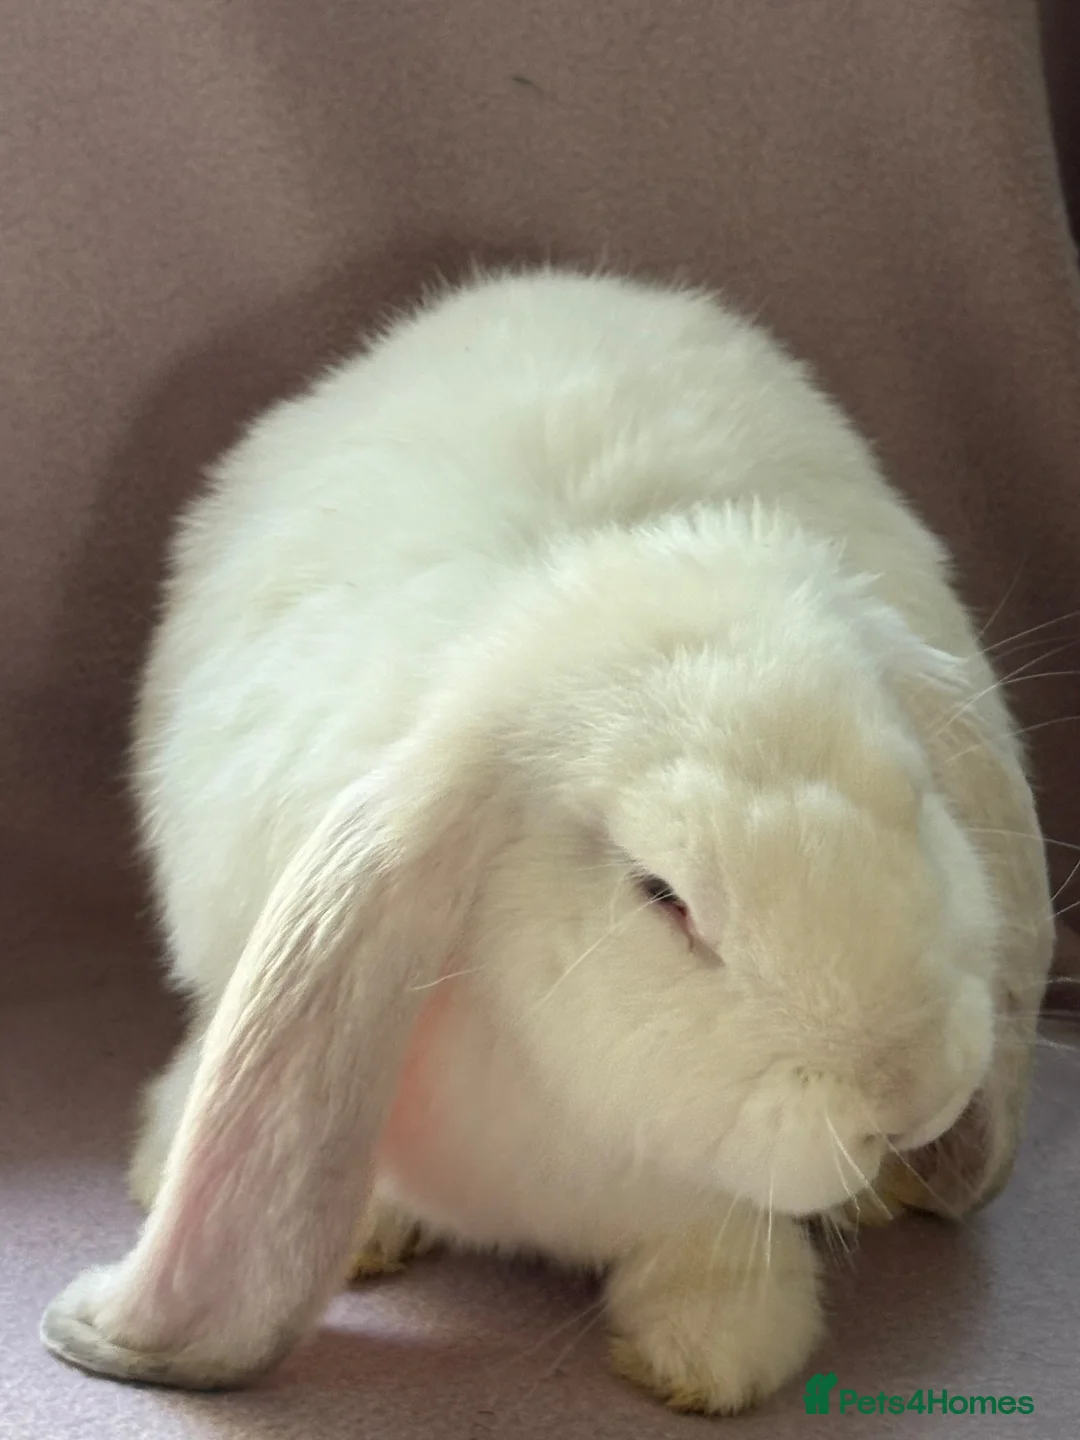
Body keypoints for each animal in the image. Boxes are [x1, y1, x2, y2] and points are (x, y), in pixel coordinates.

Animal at [40, 266, 1053, 1414]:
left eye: (918, 796)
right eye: (663, 895)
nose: (912, 1097)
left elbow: (715, 1259)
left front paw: (702, 1357)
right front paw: (358, 1231)